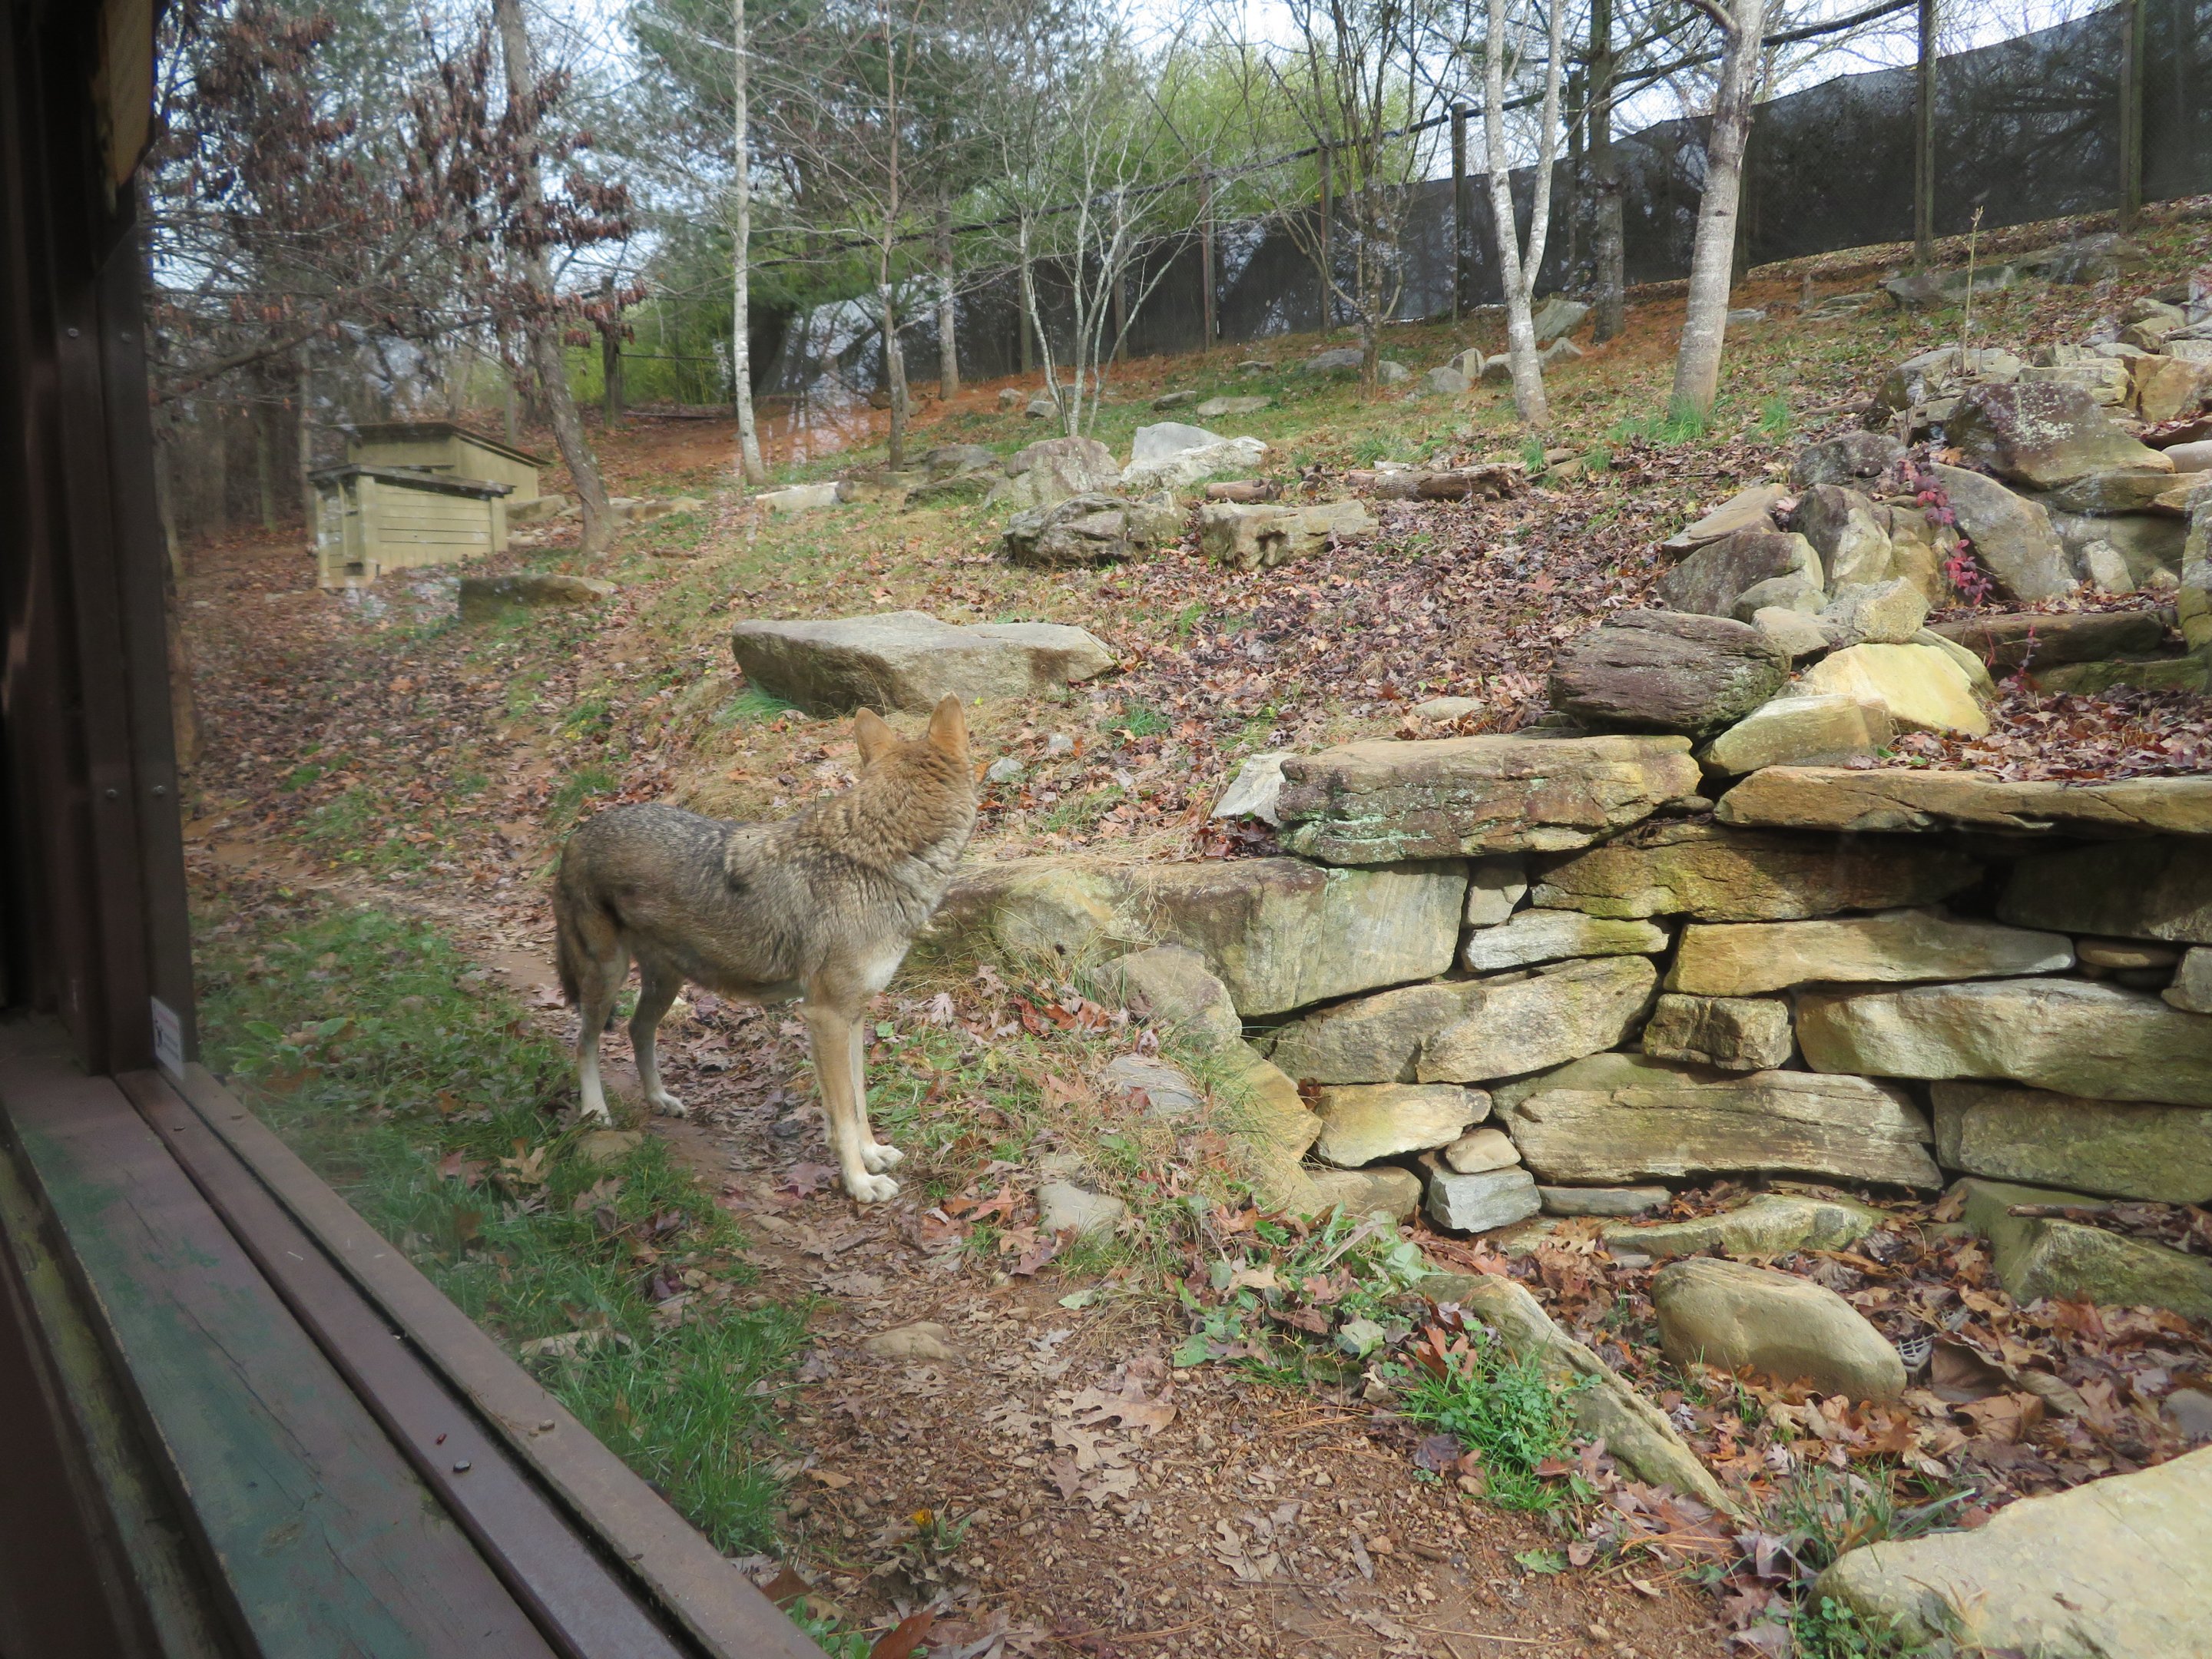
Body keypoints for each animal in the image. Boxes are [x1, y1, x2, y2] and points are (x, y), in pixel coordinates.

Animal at [552, 694, 975, 1202]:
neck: (874, 859)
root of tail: (578, 833)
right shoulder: (826, 1017)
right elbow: (843, 1115)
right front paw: (859, 1183)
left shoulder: (854, 1016)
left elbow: (858, 1100)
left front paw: (873, 1156)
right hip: (607, 976)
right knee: (585, 1042)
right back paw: (595, 1113)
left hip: (666, 981)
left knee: (638, 1030)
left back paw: (659, 1099)